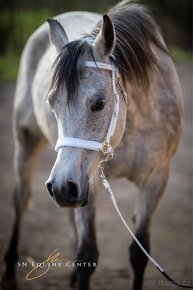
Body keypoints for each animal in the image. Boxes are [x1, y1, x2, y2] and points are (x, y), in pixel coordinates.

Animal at [2, 0, 182, 290]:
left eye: (99, 103)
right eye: (51, 102)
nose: (61, 187)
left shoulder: (156, 179)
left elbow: (139, 253)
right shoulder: (90, 180)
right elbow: (87, 254)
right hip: (28, 142)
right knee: (20, 200)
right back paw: (9, 270)